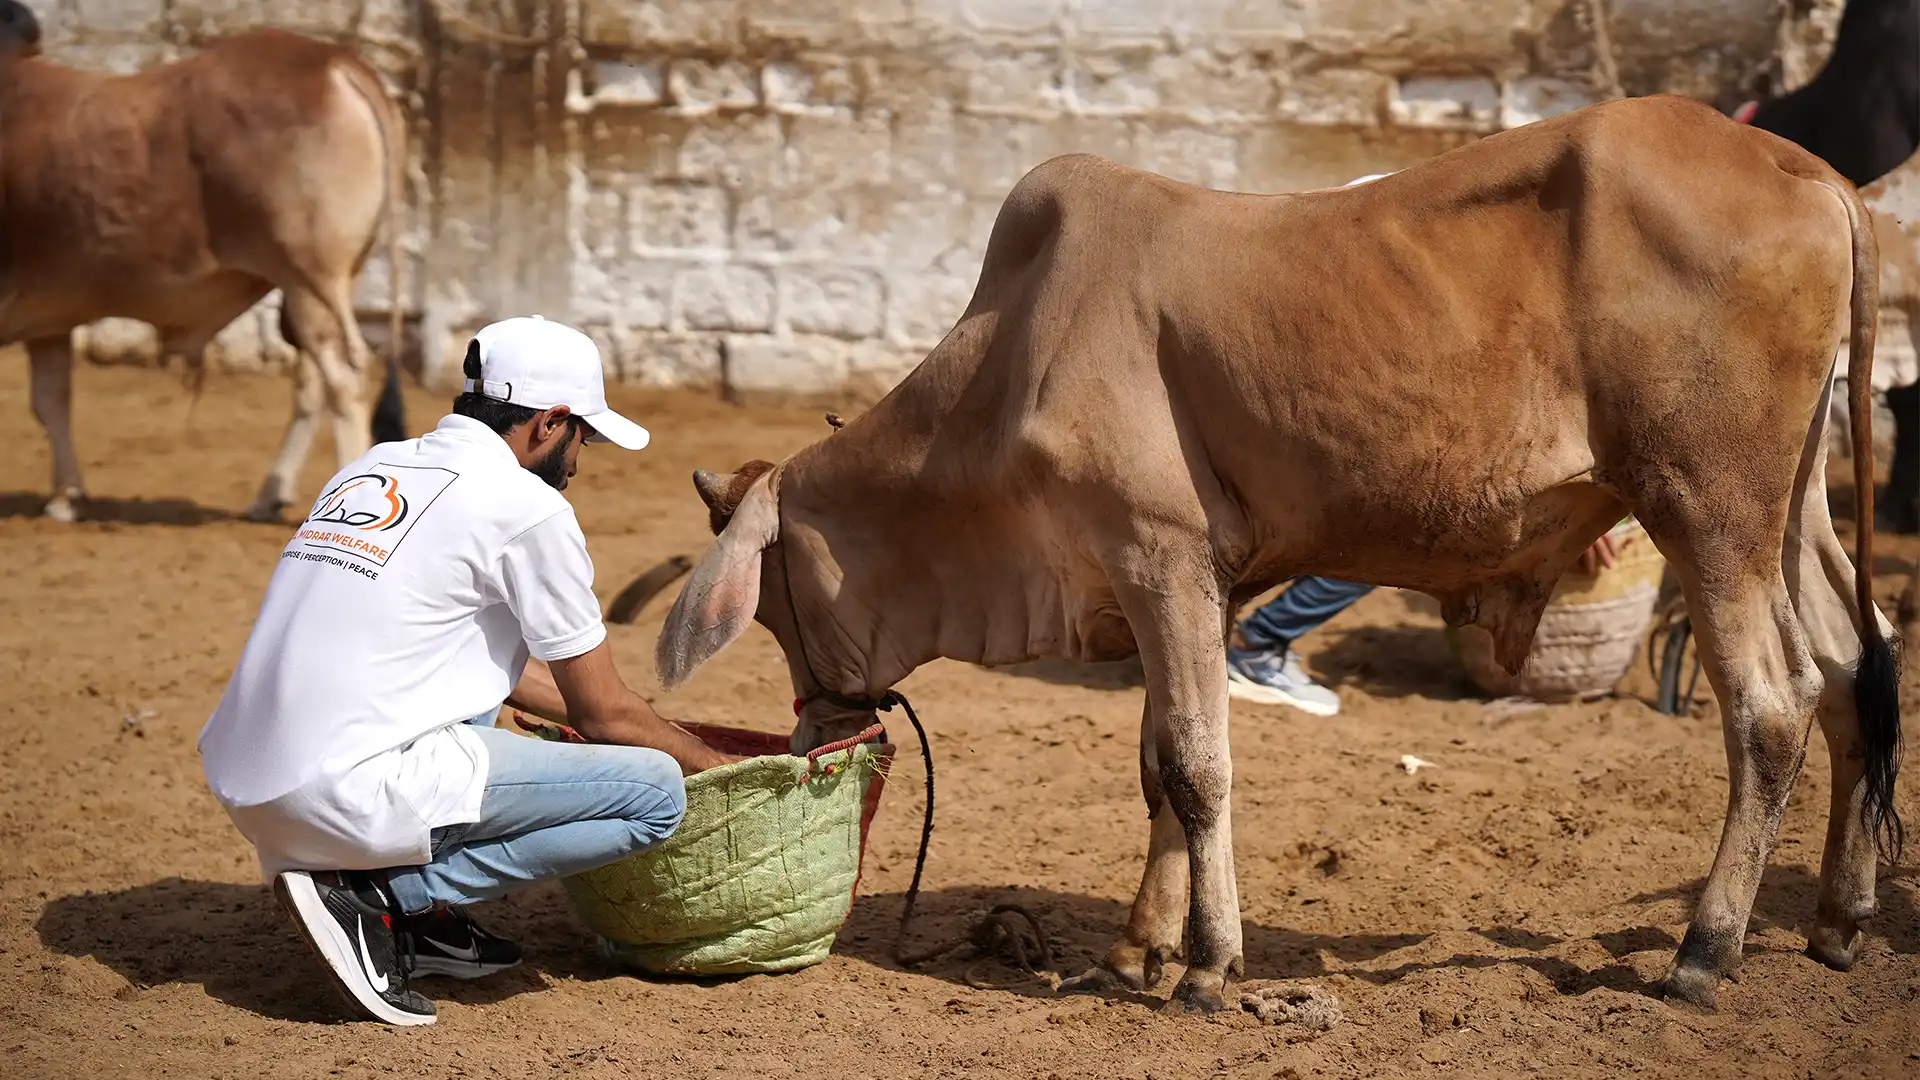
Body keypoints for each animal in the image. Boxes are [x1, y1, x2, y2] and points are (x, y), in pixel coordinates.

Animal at [0, 0, 408, 523]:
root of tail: (333, 60)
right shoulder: (50, 313)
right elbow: (51, 401)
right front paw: (66, 496)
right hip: (318, 291)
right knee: (313, 385)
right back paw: (269, 495)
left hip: (310, 278)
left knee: (346, 382)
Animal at [653, 95, 1903, 1013]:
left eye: (772, 605)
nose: (815, 733)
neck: (1006, 372)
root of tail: (1808, 171)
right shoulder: (1186, 585)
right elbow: (1160, 766)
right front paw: (1137, 950)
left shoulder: (1157, 557)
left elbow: (1198, 767)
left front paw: (1207, 966)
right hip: (1789, 509)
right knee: (1854, 675)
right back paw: (1838, 923)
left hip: (1707, 504)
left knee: (1774, 706)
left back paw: (1705, 949)